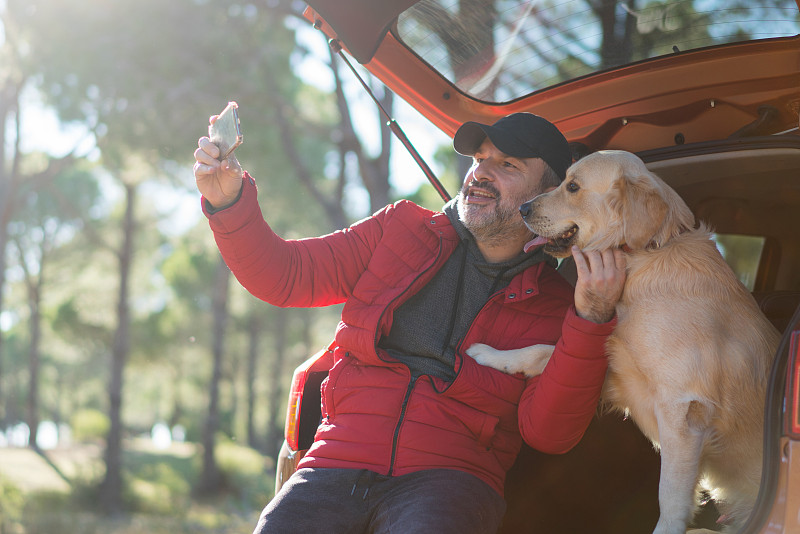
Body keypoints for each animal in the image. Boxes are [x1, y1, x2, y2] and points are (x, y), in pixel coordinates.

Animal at [472, 151, 780, 534]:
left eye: (572, 186)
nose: (523, 209)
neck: (644, 257)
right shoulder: (620, 376)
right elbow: (541, 352)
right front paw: (489, 355)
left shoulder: (682, 410)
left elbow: (671, 498)